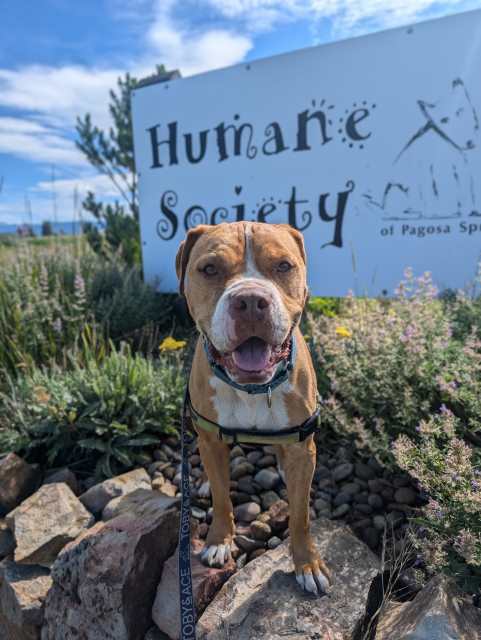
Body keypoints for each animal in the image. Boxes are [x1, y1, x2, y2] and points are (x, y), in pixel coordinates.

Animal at [176, 220, 330, 596]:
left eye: (284, 266)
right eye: (210, 269)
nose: (249, 301)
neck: (253, 387)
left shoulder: (303, 448)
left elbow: (301, 515)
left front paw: (308, 563)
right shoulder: (211, 438)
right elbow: (221, 497)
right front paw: (219, 540)